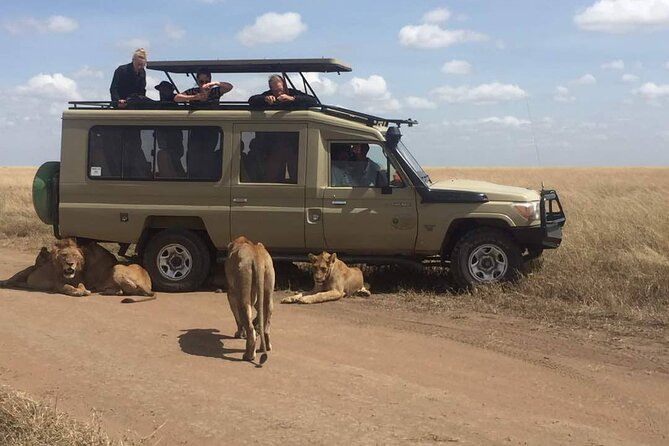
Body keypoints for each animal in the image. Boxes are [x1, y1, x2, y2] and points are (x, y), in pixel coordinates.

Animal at [0, 237, 154, 300]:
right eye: (64, 255)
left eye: (75, 255)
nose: (70, 264)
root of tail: (146, 284)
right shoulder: (58, 283)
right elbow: (67, 287)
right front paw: (78, 291)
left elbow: (79, 285)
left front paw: (83, 290)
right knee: (13, 279)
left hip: (117, 270)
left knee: (120, 290)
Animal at [223, 235, 272, 364]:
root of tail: (256, 256)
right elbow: (258, 315)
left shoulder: (231, 295)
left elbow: (238, 319)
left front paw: (239, 334)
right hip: (268, 291)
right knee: (266, 324)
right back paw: (266, 347)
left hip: (243, 295)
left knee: (250, 329)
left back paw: (248, 355)